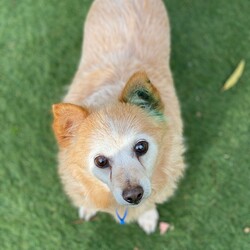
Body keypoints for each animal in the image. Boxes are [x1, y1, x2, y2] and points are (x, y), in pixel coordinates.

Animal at [51, 0, 185, 234]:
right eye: (100, 161)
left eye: (141, 147)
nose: (134, 195)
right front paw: (88, 207)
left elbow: (149, 203)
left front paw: (147, 216)